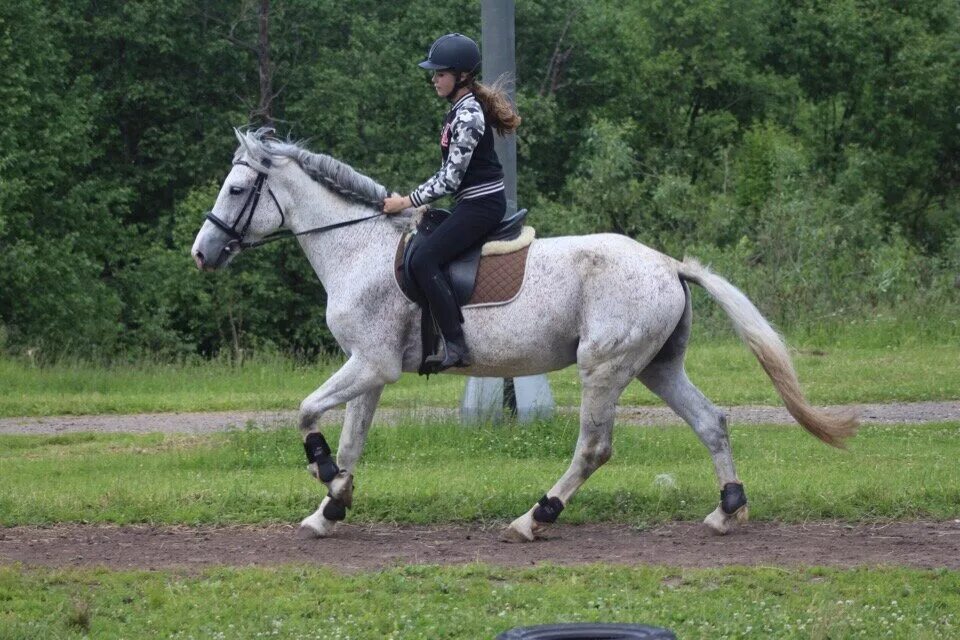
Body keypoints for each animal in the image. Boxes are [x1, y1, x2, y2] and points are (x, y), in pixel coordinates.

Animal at [191, 130, 860, 540]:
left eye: (236, 188)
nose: (202, 253)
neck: (357, 247)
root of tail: (669, 264)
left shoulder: (372, 365)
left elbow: (307, 411)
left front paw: (325, 476)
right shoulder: (369, 370)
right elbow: (353, 439)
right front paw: (330, 507)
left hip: (603, 366)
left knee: (594, 448)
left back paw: (535, 517)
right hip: (657, 367)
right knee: (711, 422)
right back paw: (727, 511)